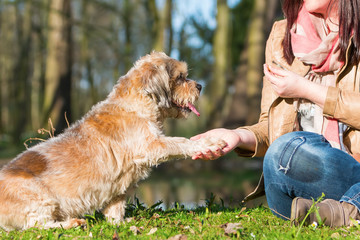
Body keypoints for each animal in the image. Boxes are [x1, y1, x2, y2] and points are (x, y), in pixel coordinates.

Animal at [0, 51, 225, 230]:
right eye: (180, 77)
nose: (200, 86)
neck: (136, 105)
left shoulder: (118, 182)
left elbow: (115, 207)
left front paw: (120, 222)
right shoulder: (151, 145)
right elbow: (181, 142)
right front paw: (209, 144)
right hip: (39, 201)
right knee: (36, 226)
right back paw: (72, 223)